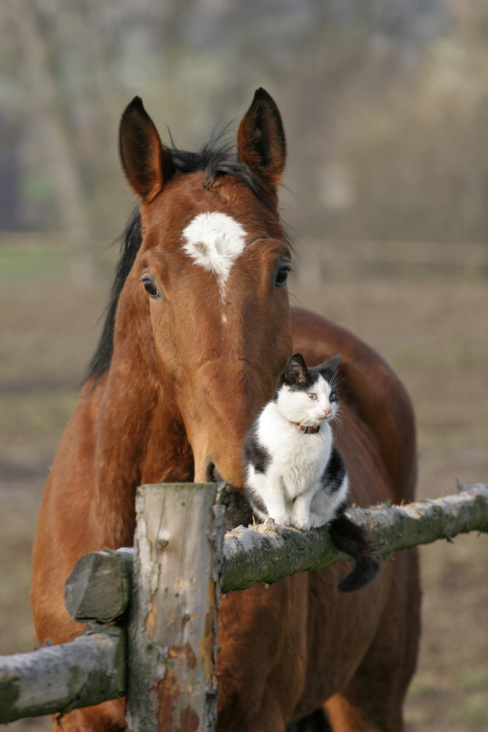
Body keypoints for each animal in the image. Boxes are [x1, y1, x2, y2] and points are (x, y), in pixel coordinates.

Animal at [244, 352, 382, 592]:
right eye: (312, 396)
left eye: (333, 396)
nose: (328, 409)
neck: (302, 432)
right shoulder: (265, 471)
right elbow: (274, 495)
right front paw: (280, 519)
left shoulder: (315, 477)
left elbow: (303, 499)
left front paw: (302, 520)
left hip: (338, 475)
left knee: (330, 513)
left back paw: (315, 518)